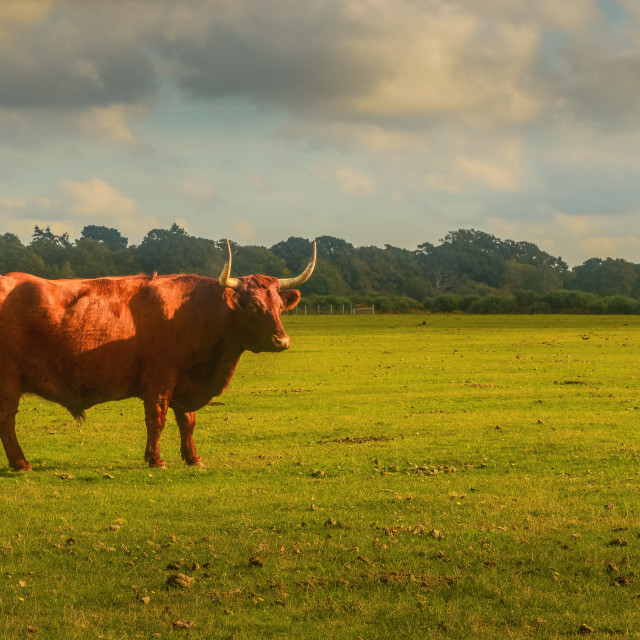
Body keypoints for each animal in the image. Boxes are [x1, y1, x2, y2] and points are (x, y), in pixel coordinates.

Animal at [0, 240, 312, 470]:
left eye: (279, 307)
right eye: (253, 307)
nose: (282, 340)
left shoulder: (185, 382)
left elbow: (187, 421)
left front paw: (193, 458)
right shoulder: (160, 380)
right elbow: (157, 419)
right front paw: (156, 459)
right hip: (9, 381)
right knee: (7, 418)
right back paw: (21, 463)